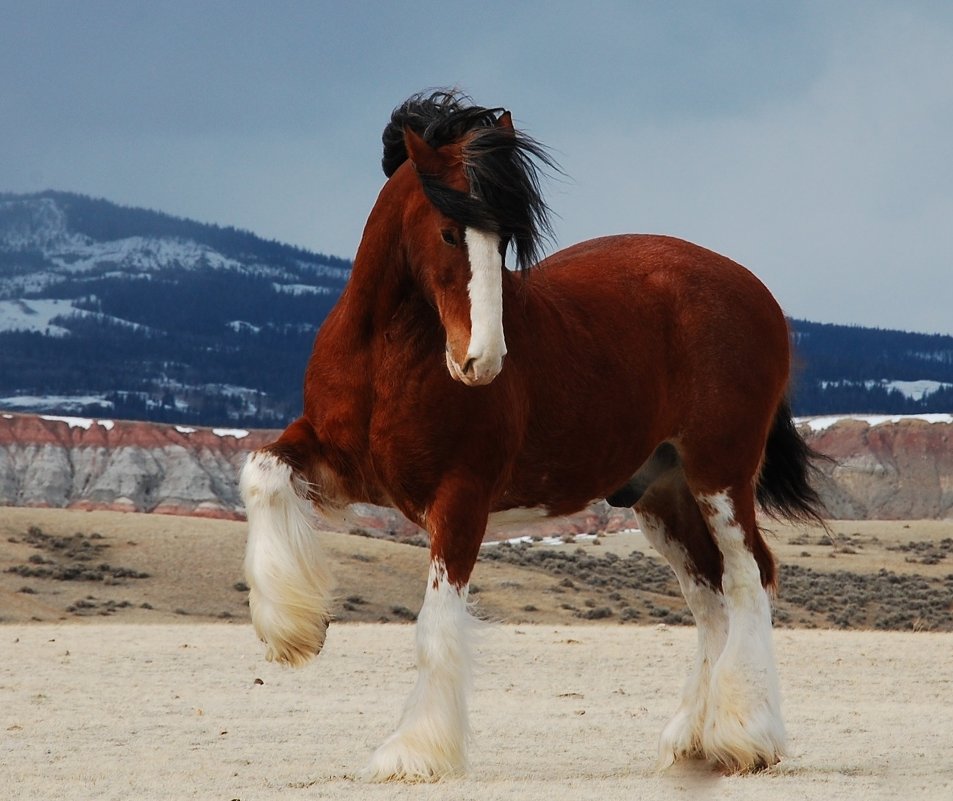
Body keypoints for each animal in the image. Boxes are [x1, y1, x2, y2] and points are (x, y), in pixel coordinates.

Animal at [240, 89, 824, 780]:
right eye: (449, 231)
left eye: (506, 242)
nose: (482, 360)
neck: (385, 356)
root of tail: (757, 293)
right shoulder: (339, 463)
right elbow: (261, 472)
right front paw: (294, 630)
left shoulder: (462, 497)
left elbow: (436, 626)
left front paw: (415, 753)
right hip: (663, 494)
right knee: (710, 597)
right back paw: (691, 741)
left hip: (720, 473)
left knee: (748, 577)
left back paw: (746, 737)